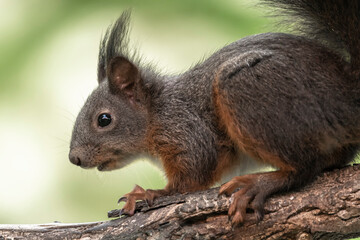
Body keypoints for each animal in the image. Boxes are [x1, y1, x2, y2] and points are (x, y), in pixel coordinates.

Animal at [68, 0, 360, 225]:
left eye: (104, 119)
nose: (74, 158)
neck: (157, 112)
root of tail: (348, 96)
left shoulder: (185, 131)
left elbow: (192, 175)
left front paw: (152, 193)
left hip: (245, 90)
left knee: (304, 167)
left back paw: (259, 184)